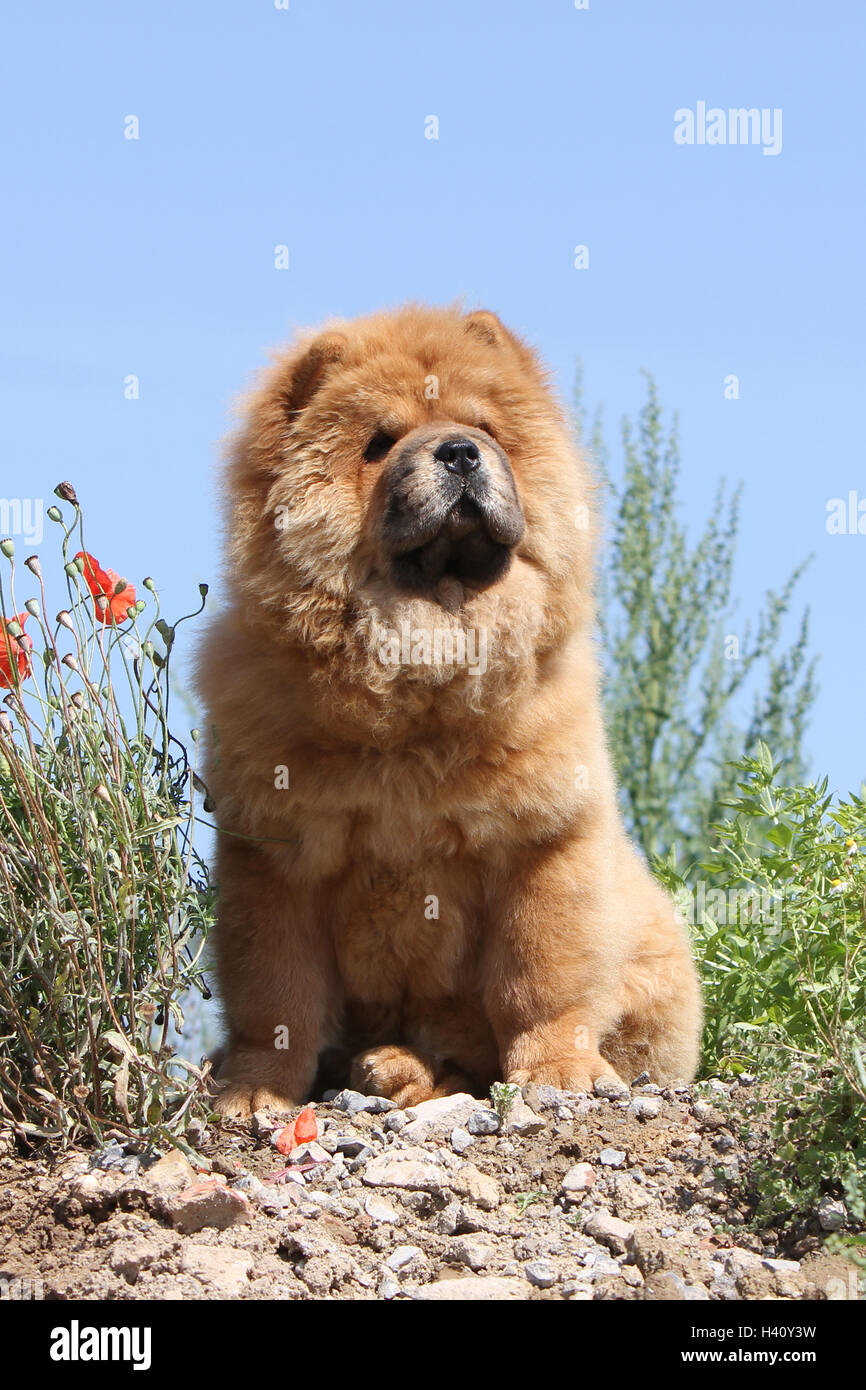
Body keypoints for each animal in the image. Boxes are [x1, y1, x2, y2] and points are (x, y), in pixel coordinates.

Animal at [198, 307, 706, 1117]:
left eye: (484, 427)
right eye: (379, 443)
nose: (461, 453)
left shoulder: (542, 843)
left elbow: (539, 980)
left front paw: (559, 1074)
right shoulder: (277, 858)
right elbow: (277, 998)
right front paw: (254, 1089)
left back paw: (401, 1069)